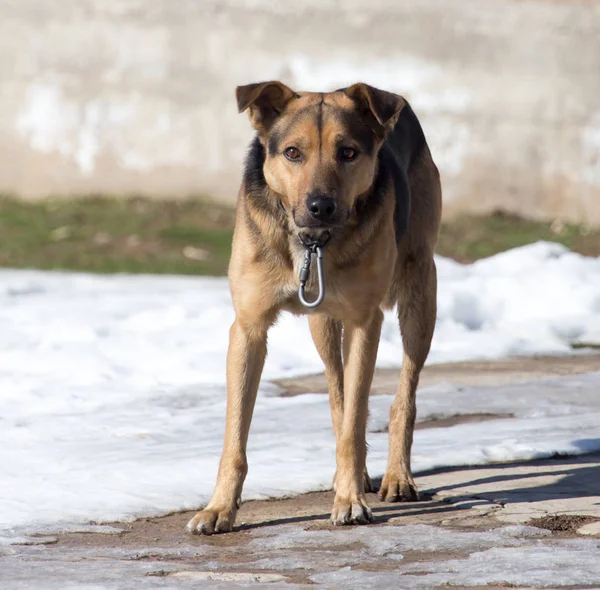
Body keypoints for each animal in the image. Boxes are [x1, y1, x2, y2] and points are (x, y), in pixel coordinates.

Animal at [188, 80, 440, 536]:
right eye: (292, 152)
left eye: (348, 152)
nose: (320, 206)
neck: (311, 243)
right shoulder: (247, 329)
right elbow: (235, 435)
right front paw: (219, 509)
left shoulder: (364, 322)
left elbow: (356, 421)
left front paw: (351, 502)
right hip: (322, 324)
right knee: (338, 396)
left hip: (420, 291)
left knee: (402, 396)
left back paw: (397, 476)